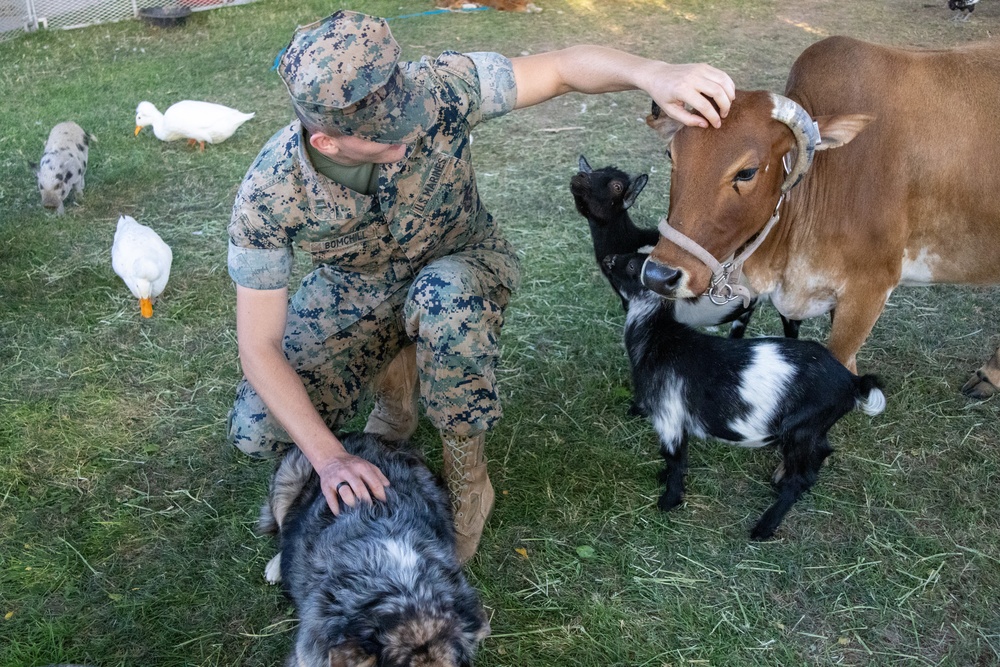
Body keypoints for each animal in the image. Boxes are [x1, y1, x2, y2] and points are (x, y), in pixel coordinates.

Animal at [600, 253, 884, 540]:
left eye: (633, 265)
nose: (609, 258)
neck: (657, 338)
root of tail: (853, 382)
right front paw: (663, 477)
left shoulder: (669, 416)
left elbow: (676, 459)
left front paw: (669, 501)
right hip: (813, 428)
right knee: (821, 453)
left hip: (801, 428)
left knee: (801, 478)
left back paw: (764, 526)